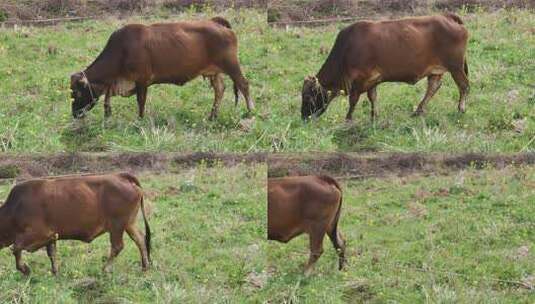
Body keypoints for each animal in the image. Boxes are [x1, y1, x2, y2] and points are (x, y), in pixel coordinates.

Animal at [0, 173, 151, 276]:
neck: (14, 209)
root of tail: (121, 176)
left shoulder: (38, 233)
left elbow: (16, 248)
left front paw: (25, 269)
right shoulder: (51, 236)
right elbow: (51, 253)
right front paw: (55, 272)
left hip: (117, 225)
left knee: (118, 246)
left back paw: (105, 269)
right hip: (129, 224)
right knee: (140, 239)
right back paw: (145, 267)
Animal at [71, 16, 255, 120]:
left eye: (78, 92)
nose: (75, 114)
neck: (122, 49)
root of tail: (216, 22)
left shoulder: (142, 80)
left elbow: (141, 101)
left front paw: (140, 120)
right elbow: (107, 101)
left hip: (231, 66)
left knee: (244, 85)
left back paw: (250, 112)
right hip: (214, 72)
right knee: (220, 89)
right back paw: (212, 116)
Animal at [304, 12, 472, 122]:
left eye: (307, 96)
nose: (304, 117)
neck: (346, 49)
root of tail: (447, 17)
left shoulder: (361, 79)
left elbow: (354, 100)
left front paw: (348, 119)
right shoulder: (372, 79)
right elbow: (372, 97)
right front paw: (374, 117)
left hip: (456, 67)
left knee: (464, 86)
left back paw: (461, 109)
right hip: (437, 70)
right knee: (433, 87)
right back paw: (418, 111)